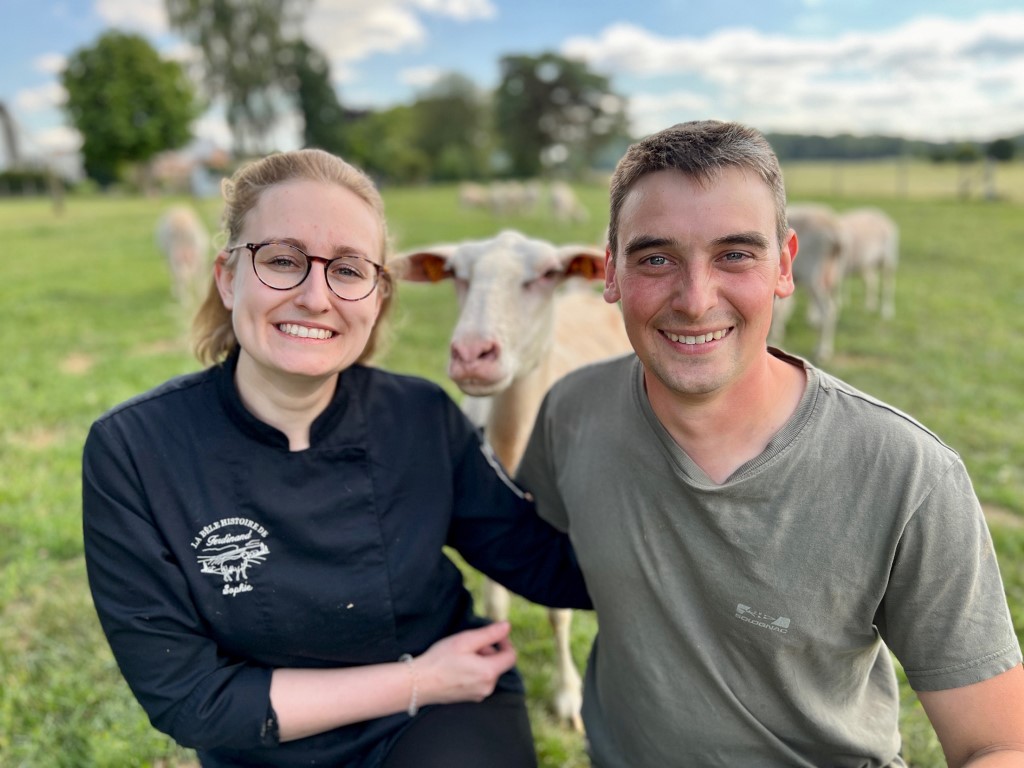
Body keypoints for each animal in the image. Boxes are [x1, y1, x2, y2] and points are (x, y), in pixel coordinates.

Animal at [391, 230, 630, 733]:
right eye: (457, 274)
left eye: (546, 274)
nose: (472, 355)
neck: (514, 440)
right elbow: (497, 604)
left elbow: (559, 615)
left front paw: (569, 697)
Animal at [770, 202, 851, 362]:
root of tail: (835, 231)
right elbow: (782, 309)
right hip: (834, 271)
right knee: (834, 306)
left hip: (813, 274)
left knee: (827, 310)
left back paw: (822, 352)